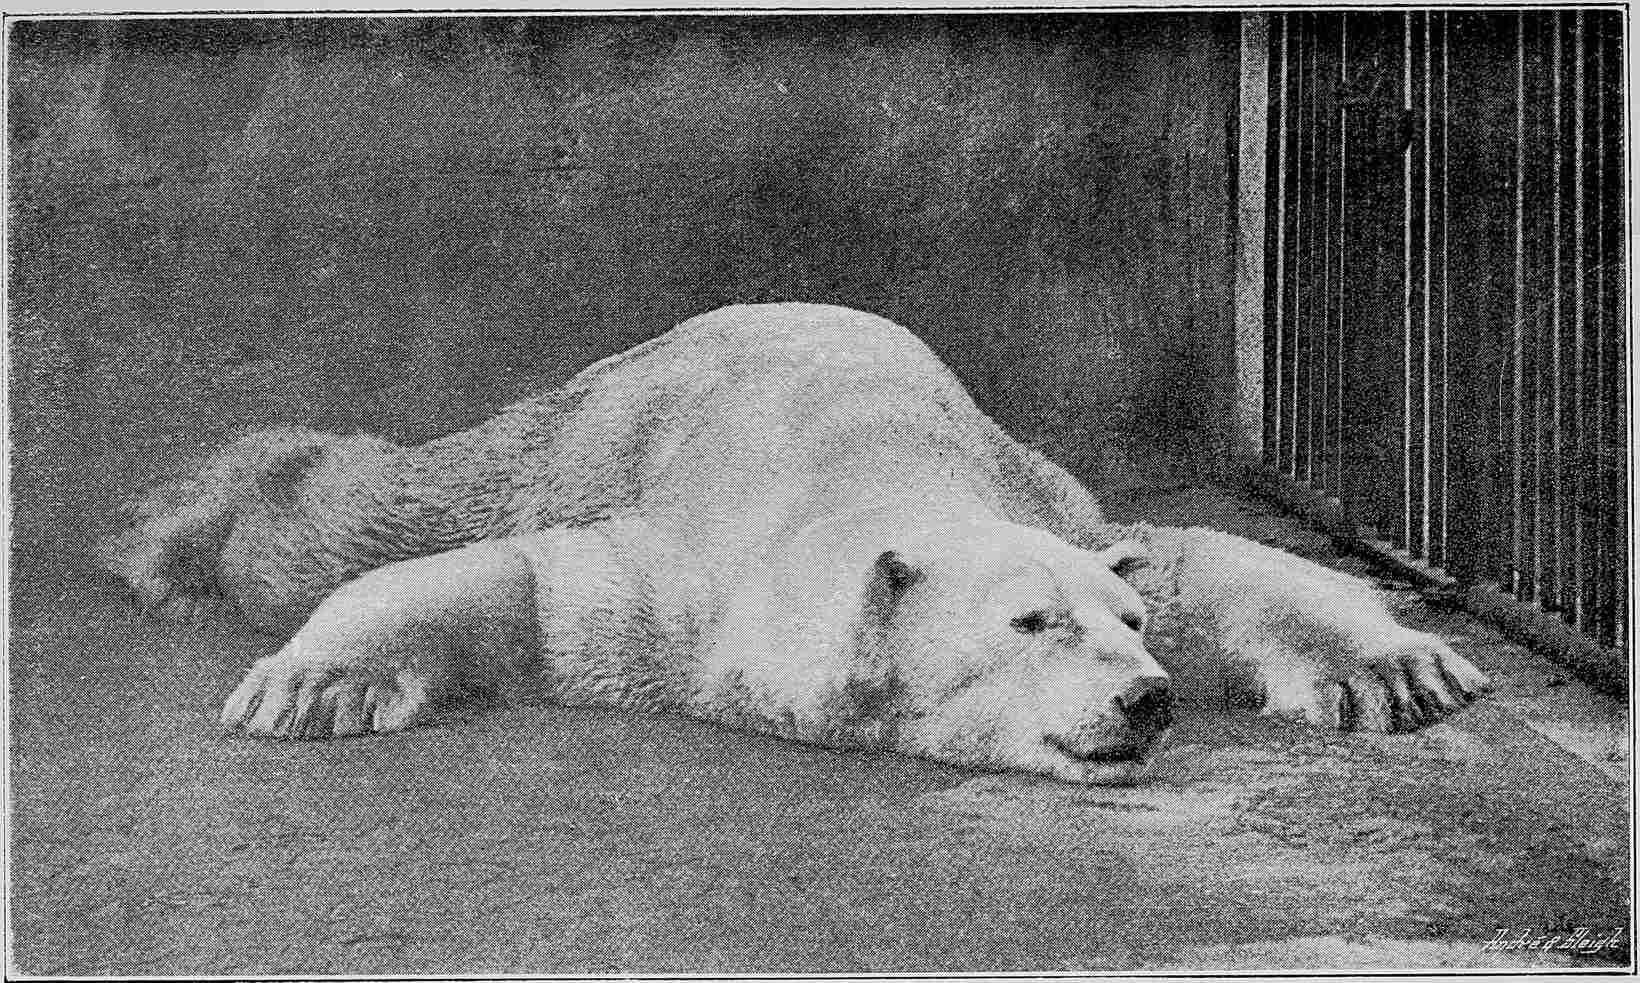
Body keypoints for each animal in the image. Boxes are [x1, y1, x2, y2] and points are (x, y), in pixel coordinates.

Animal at [99, 301, 1489, 784]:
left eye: (1124, 627)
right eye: (1027, 622)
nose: (1145, 698)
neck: (878, 477)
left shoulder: (1052, 504)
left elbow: (1198, 557)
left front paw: (1399, 670)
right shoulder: (687, 593)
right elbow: (532, 580)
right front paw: (310, 685)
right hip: (582, 424)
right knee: (370, 513)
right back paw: (158, 542)